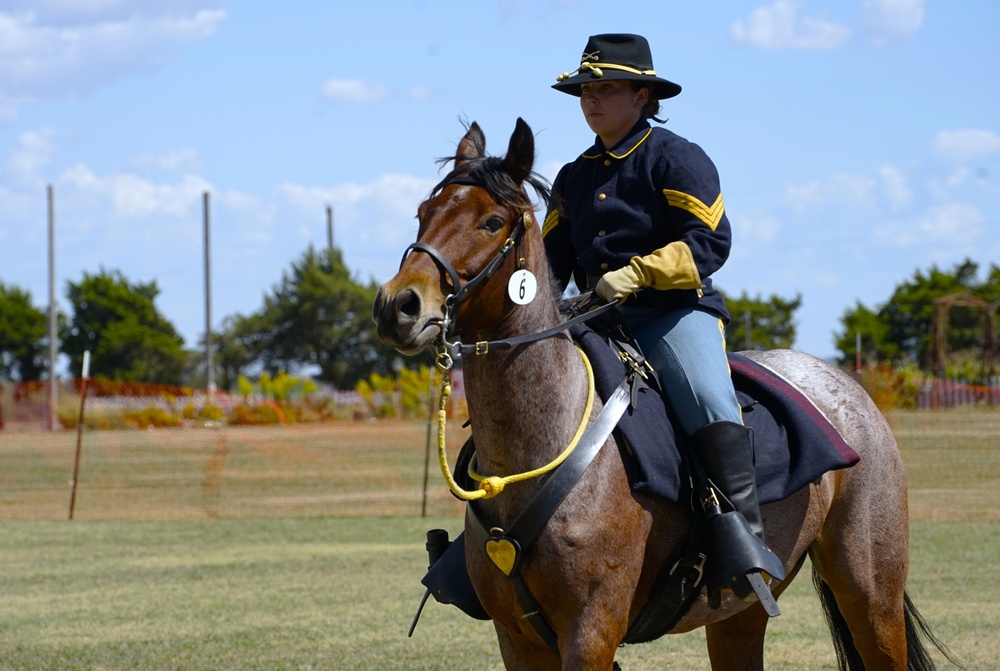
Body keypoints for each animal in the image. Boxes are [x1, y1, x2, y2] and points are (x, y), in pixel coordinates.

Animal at [372, 121, 956, 671]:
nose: (398, 305)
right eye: (423, 212)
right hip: (739, 615)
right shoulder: (518, 640)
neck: (545, 441)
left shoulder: (591, 632)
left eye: (492, 222)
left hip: (870, 597)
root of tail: (847, 390)